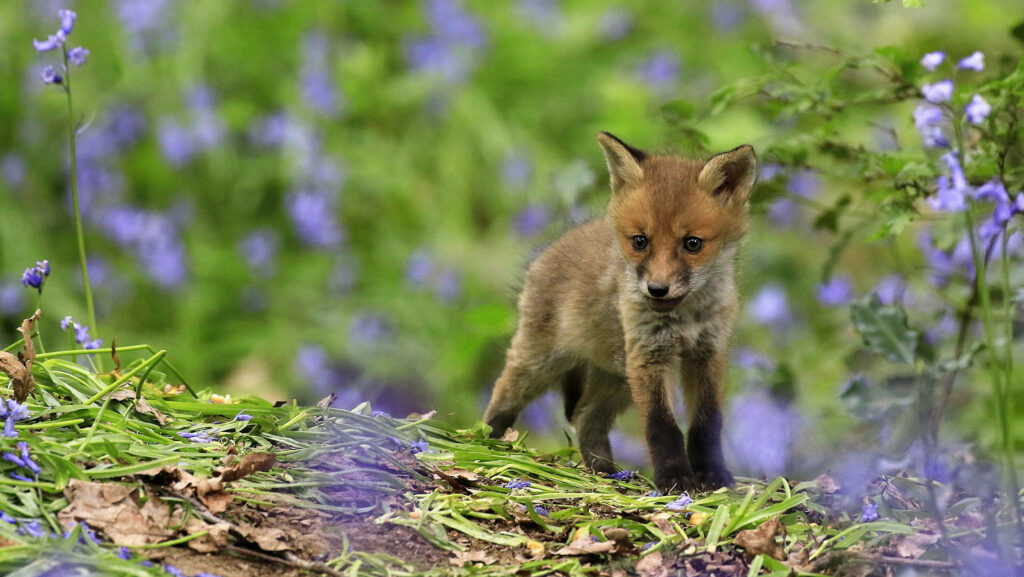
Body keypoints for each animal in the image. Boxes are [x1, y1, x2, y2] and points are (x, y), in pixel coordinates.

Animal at [483, 132, 757, 492]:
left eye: (693, 243)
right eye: (640, 241)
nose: (657, 289)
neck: (686, 318)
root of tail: (552, 247)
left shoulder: (707, 354)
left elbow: (707, 423)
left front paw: (711, 474)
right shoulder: (648, 356)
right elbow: (661, 425)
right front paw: (674, 478)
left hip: (617, 379)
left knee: (586, 419)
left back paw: (605, 473)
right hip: (544, 362)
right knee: (505, 391)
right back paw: (485, 440)